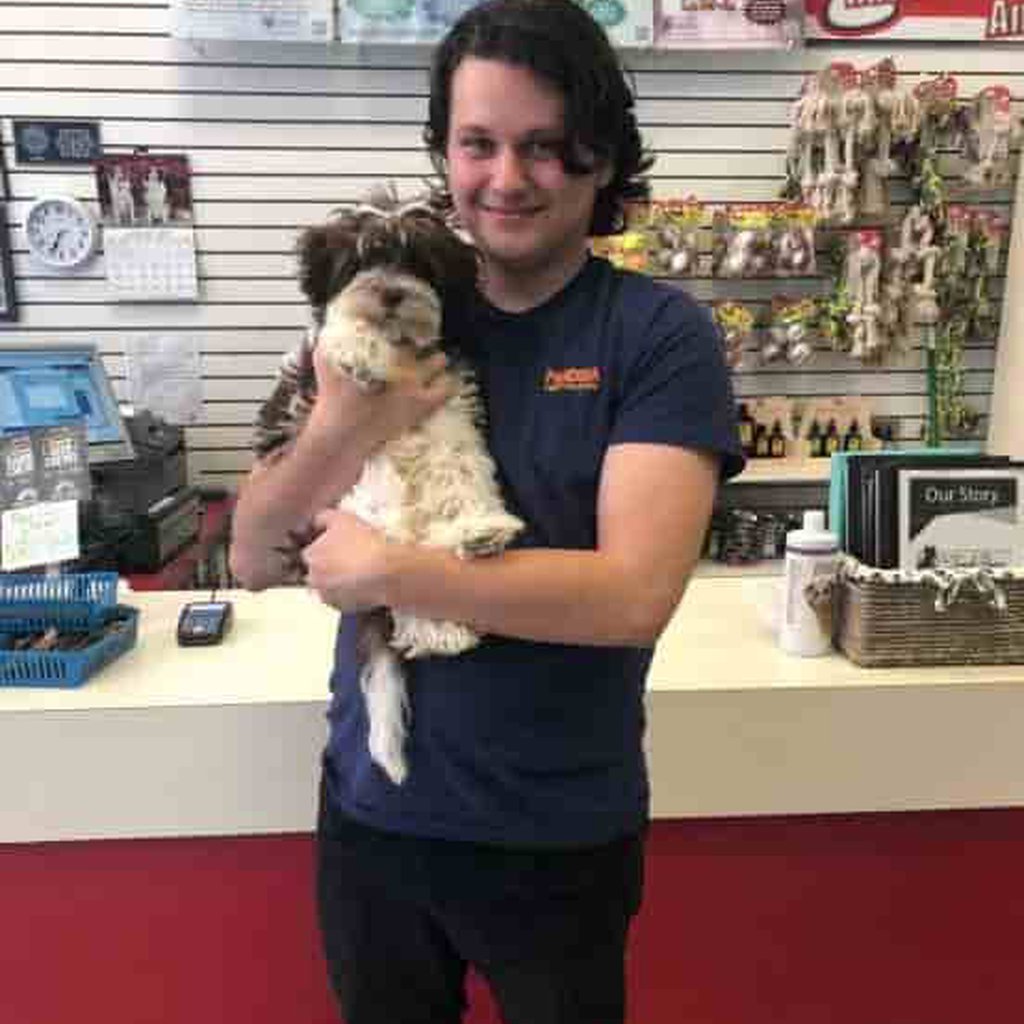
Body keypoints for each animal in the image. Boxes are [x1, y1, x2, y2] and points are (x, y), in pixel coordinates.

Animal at [252, 192, 524, 782]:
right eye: (360, 262)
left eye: (419, 264)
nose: (392, 292)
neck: (402, 347)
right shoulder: (307, 392)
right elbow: (340, 329)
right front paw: (360, 346)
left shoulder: (450, 407)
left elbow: (461, 464)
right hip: (362, 499)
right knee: (395, 572)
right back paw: (436, 626)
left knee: (440, 518)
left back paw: (478, 536)